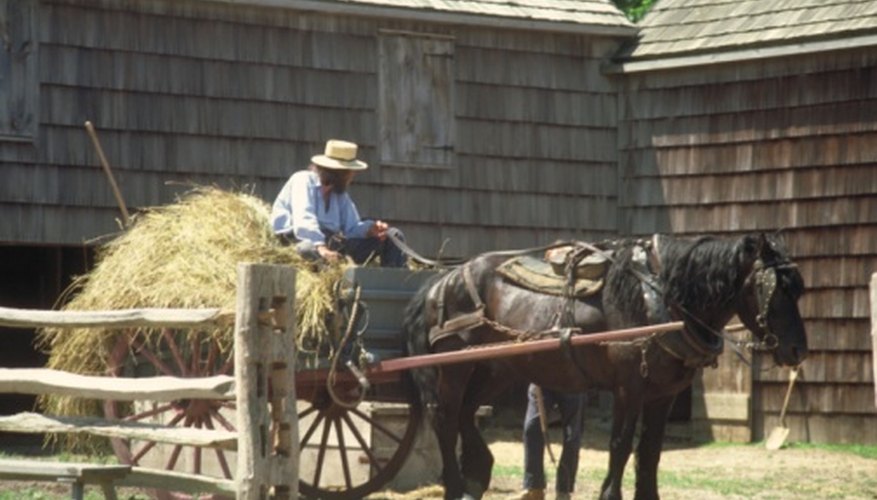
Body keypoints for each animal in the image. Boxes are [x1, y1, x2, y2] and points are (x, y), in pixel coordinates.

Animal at [404, 233, 808, 500]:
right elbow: (621, 446)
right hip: (454, 367)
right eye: (771, 290)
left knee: (466, 413)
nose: (798, 350)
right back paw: (456, 484)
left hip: (494, 368)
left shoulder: (663, 394)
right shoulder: (629, 388)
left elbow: (650, 452)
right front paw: (609, 494)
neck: (660, 299)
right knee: (445, 417)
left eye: (798, 289)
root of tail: (442, 281)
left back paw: (476, 472)